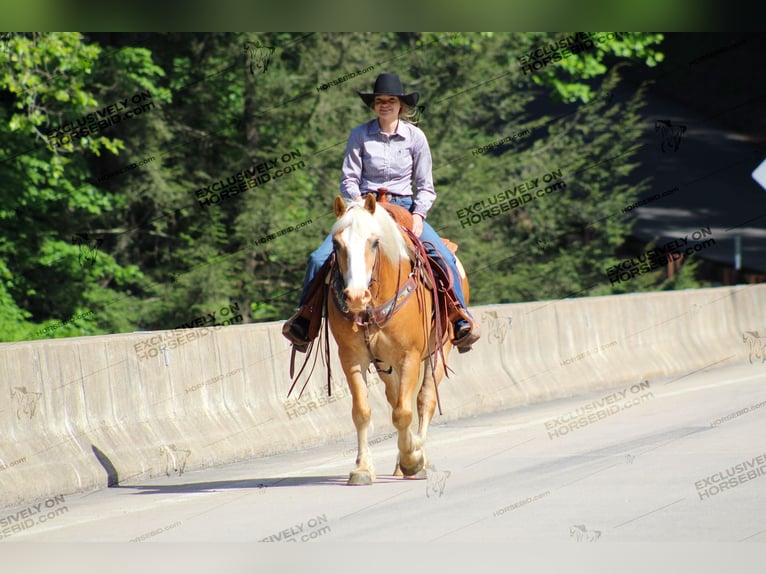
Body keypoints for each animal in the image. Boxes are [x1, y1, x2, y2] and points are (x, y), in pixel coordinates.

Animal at [328, 195, 468, 486]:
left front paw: (413, 460)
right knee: (397, 399)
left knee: (424, 400)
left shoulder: (409, 356)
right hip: (385, 364)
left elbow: (404, 412)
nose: (356, 297)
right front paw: (362, 468)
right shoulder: (351, 357)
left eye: (374, 242)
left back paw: (417, 457)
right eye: (336, 244)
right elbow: (362, 412)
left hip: (440, 349)